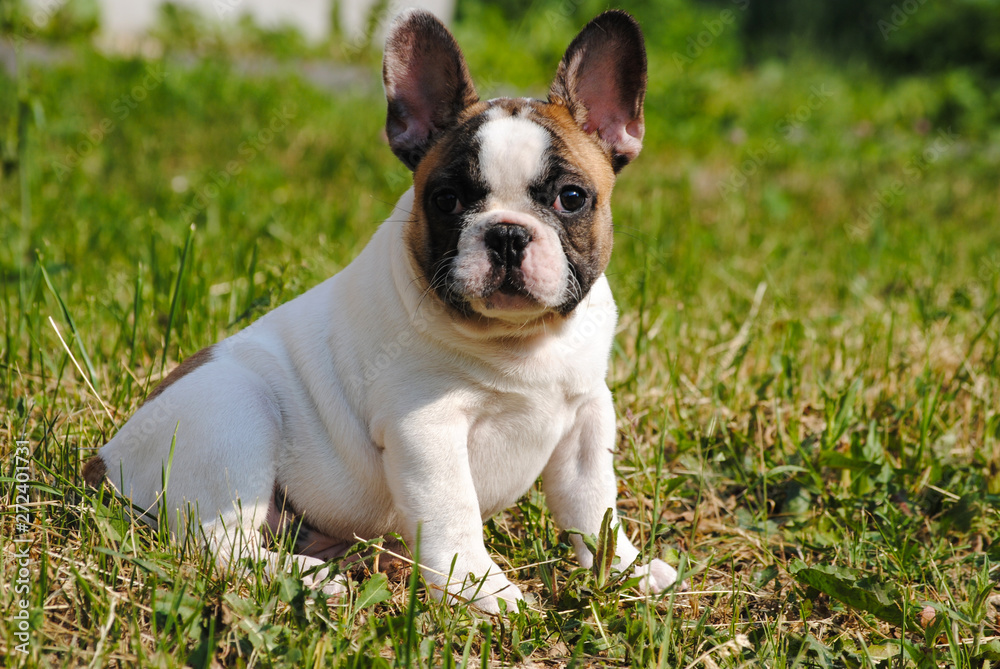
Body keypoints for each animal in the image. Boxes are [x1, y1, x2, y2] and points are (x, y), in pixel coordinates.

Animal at [86, 7, 680, 612]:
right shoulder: (428, 430)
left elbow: (594, 504)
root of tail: (103, 461)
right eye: (446, 200)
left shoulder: (586, 418)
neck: (521, 340)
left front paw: (625, 572)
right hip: (233, 411)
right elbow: (454, 513)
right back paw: (310, 578)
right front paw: (483, 590)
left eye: (572, 198)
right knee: (219, 544)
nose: (507, 234)